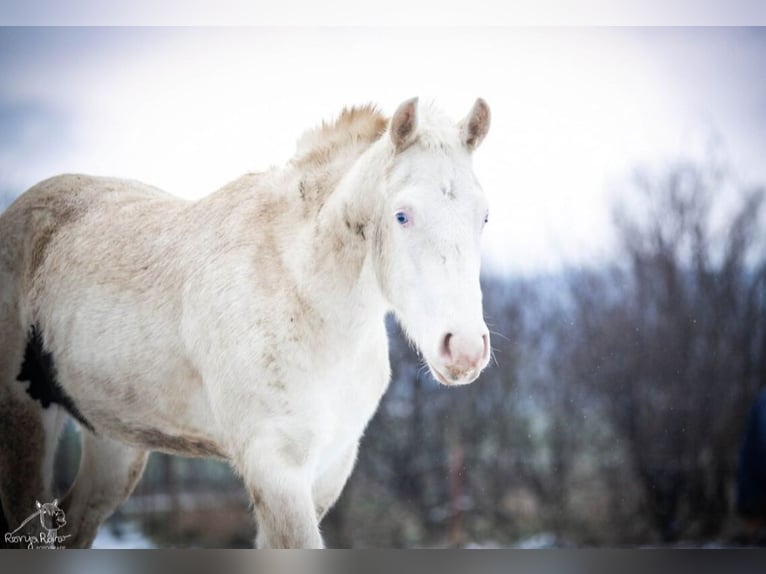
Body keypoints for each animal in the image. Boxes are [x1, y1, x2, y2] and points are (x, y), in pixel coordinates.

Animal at [0, 98, 492, 548]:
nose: (465, 349)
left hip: (114, 440)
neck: (303, 296)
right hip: (25, 420)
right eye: (402, 215)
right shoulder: (275, 468)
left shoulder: (328, 469)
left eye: (484, 215)